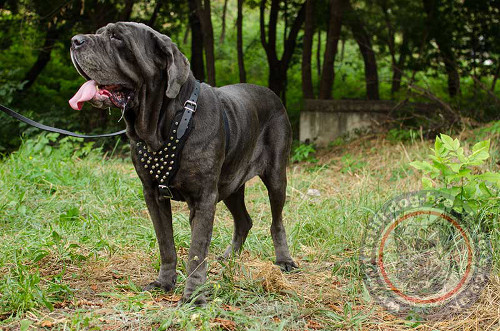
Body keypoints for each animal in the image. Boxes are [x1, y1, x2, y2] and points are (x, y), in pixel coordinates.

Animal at [70, 21, 296, 306]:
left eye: (117, 38)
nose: (75, 40)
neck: (165, 123)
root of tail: (272, 93)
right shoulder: (153, 195)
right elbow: (166, 244)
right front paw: (164, 282)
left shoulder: (203, 199)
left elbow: (196, 252)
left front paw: (194, 296)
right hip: (231, 185)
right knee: (244, 221)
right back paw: (228, 258)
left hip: (275, 176)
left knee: (276, 221)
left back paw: (284, 259)